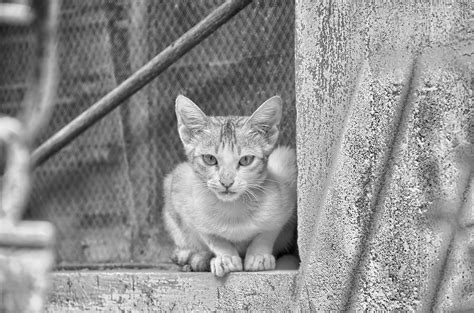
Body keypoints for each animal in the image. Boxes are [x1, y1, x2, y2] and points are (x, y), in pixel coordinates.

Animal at [163, 94, 296, 276]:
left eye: (246, 159)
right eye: (209, 159)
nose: (226, 182)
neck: (233, 210)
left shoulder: (285, 184)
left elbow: (269, 231)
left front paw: (258, 254)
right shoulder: (186, 199)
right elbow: (210, 236)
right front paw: (226, 256)